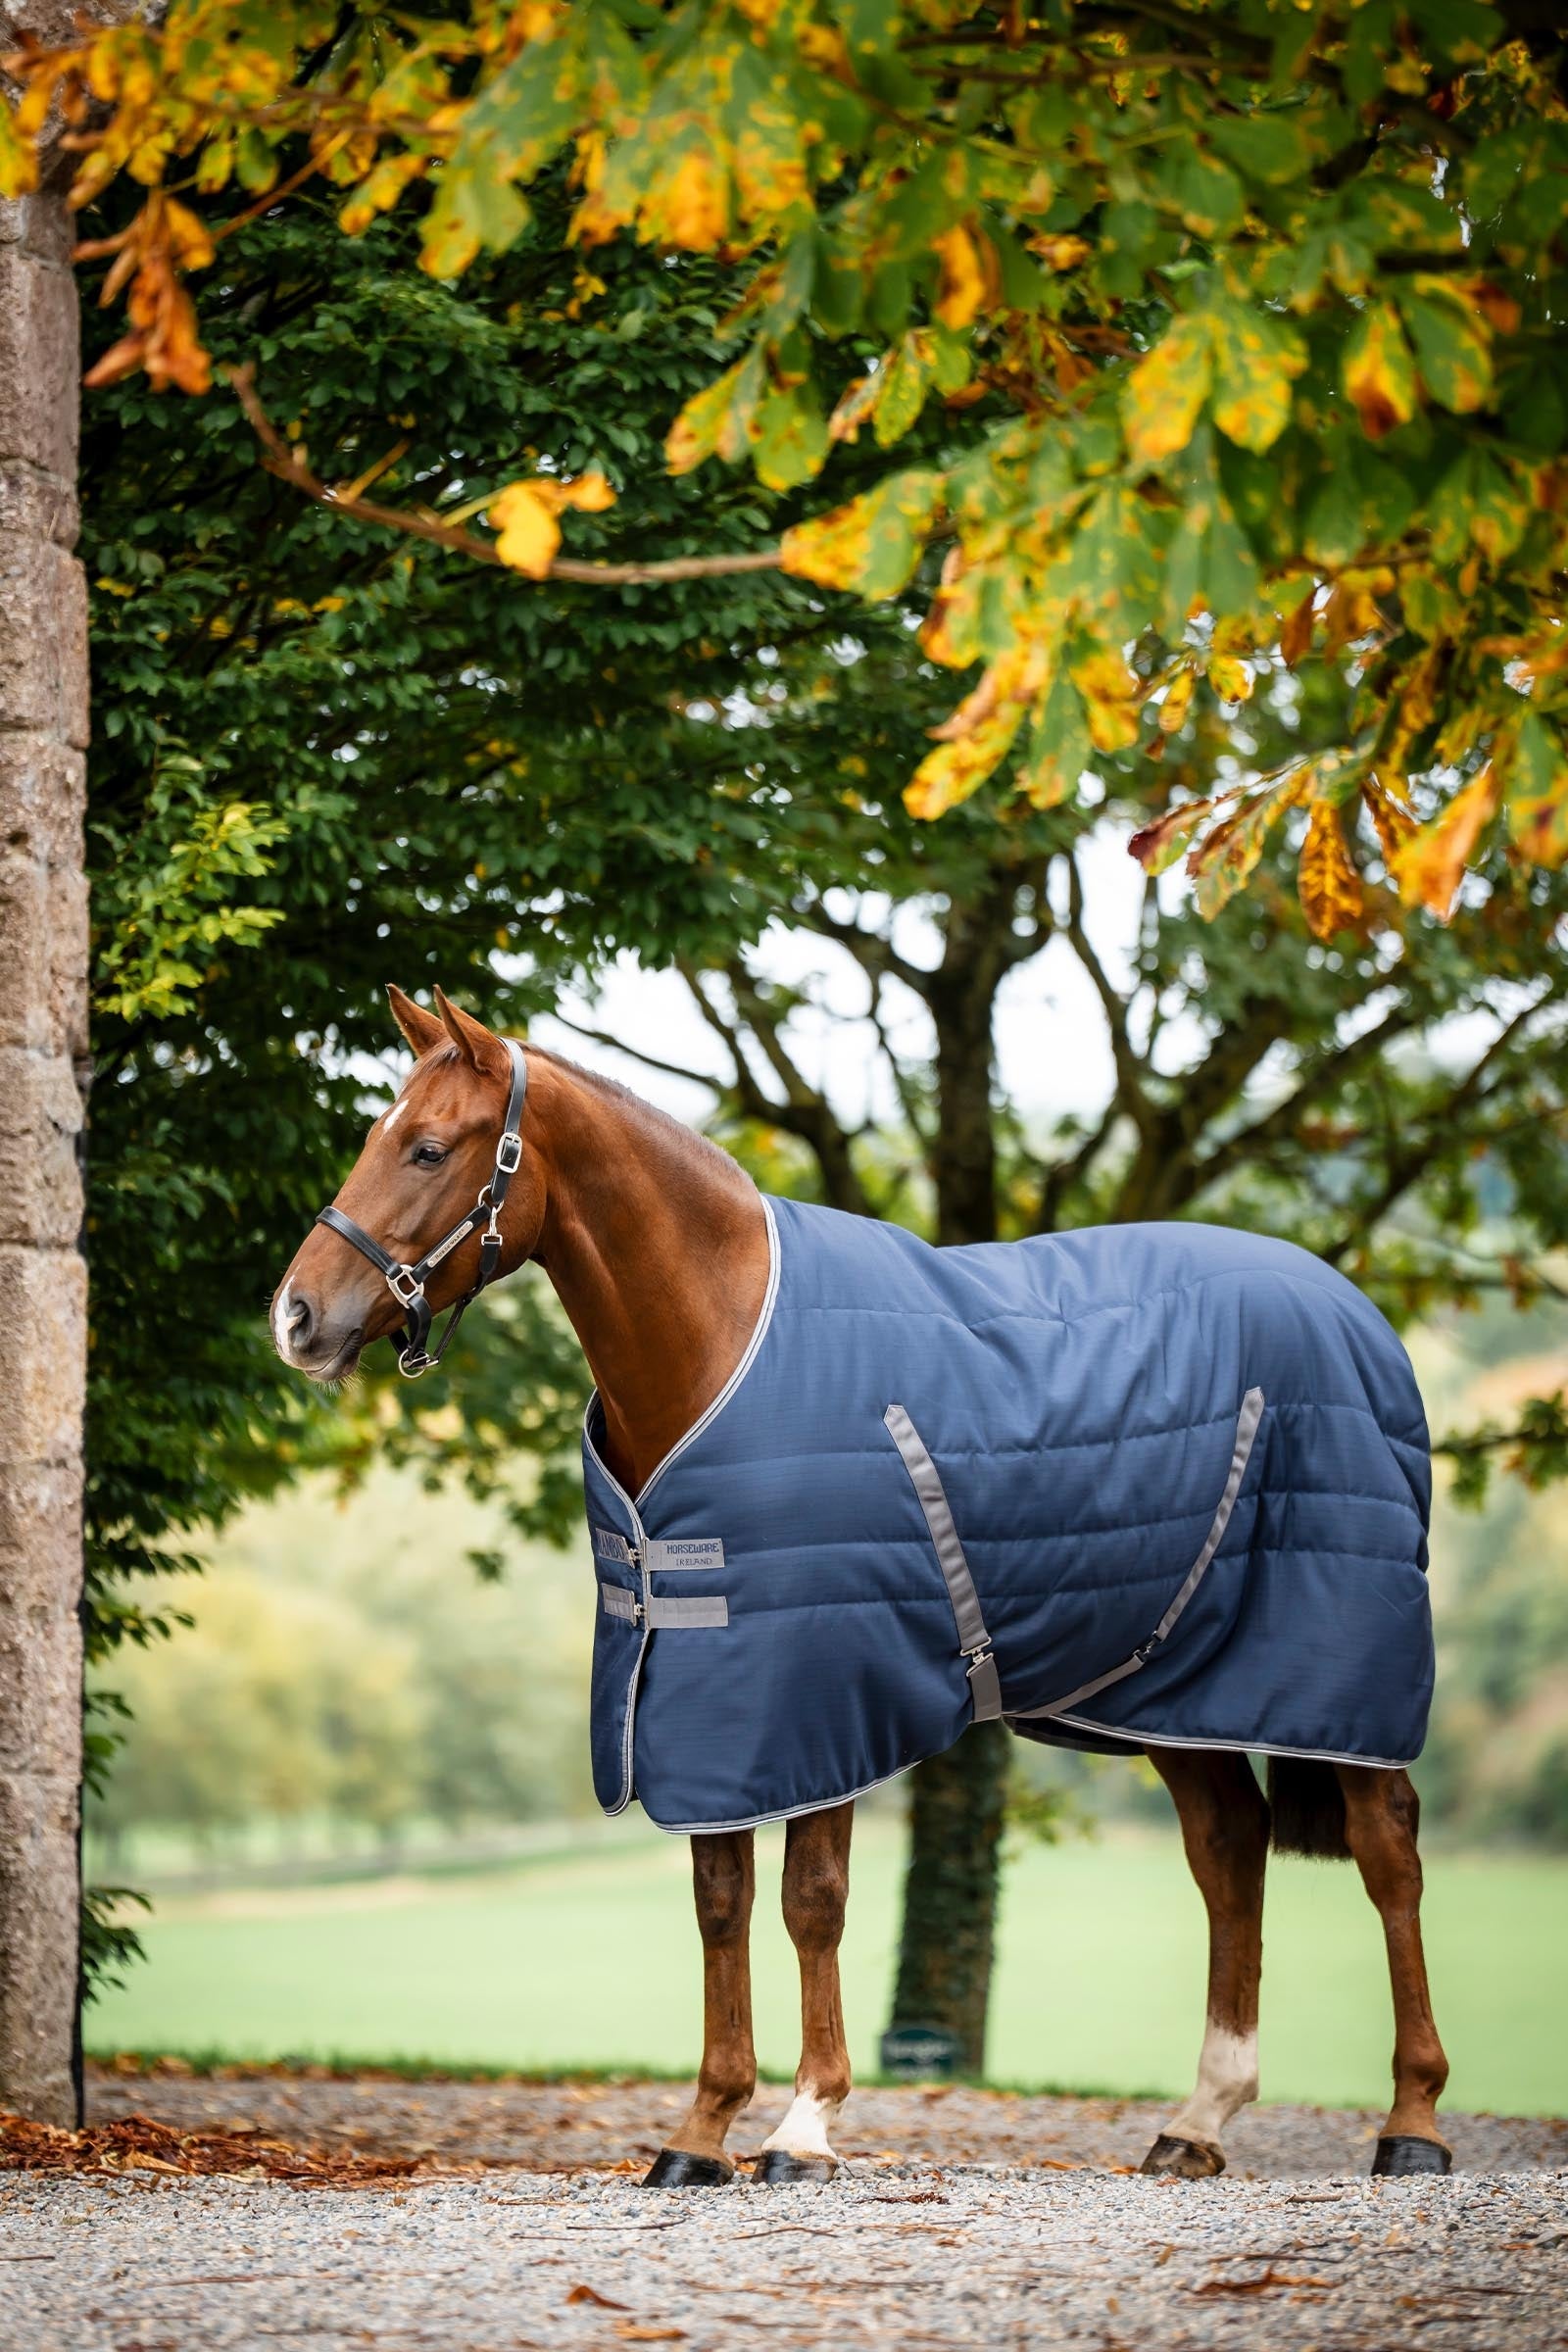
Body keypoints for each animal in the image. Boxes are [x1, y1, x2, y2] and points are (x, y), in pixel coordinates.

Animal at [271, 985, 1451, 2186]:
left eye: (427, 1148)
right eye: (373, 1136)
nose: (297, 1318)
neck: (719, 1336)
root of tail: (1355, 1313)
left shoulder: (819, 1690)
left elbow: (811, 1902)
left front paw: (803, 2125)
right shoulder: (709, 1691)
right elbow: (721, 1903)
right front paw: (701, 2132)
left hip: (1336, 1668)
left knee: (1387, 1849)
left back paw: (1411, 2122)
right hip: (1172, 1686)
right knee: (1228, 1852)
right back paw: (1199, 2120)